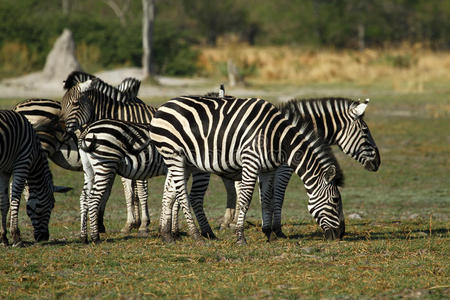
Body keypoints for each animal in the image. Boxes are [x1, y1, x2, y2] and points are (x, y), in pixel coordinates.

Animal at [0, 110, 55, 246]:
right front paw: (16, 236)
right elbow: (15, 200)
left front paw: (3, 237)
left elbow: (4, 202)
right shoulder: (23, 162)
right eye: (51, 206)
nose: (45, 237)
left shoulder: (4, 171)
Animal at [150, 95, 344, 244]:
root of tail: (163, 107)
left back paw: (167, 236)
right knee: (182, 195)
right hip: (174, 154)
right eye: (335, 200)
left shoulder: (267, 170)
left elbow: (267, 198)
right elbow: (245, 200)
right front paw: (240, 237)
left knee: (170, 193)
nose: (340, 235)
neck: (277, 138)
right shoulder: (251, 162)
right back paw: (196, 236)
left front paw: (268, 233)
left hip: (186, 162)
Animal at [218, 97, 380, 238]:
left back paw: (227, 222)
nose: (378, 162)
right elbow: (278, 196)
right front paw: (277, 230)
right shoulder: (284, 168)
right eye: (365, 131)